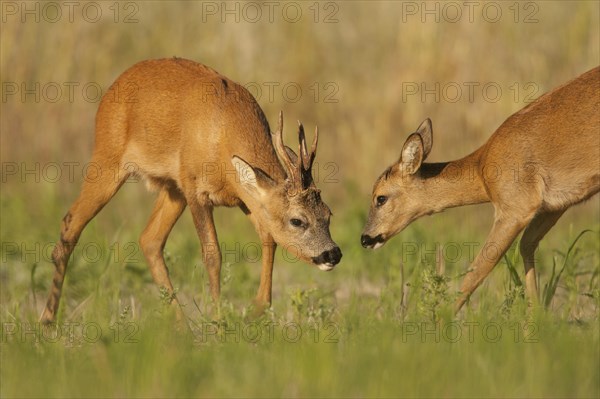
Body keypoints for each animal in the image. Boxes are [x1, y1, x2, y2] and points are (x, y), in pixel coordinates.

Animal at [41, 57, 342, 324]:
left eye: (329, 214)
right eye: (297, 220)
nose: (333, 254)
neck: (223, 135)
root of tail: (113, 86)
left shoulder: (243, 197)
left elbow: (269, 237)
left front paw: (257, 310)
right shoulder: (196, 189)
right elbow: (212, 255)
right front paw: (219, 322)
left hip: (172, 188)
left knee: (149, 239)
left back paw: (182, 326)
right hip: (108, 157)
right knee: (70, 224)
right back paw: (47, 321)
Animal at [360, 66, 600, 312]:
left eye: (380, 198)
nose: (365, 238)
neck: (482, 168)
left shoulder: (516, 207)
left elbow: (477, 270)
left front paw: (441, 318)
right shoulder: (553, 207)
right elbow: (527, 245)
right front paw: (536, 315)